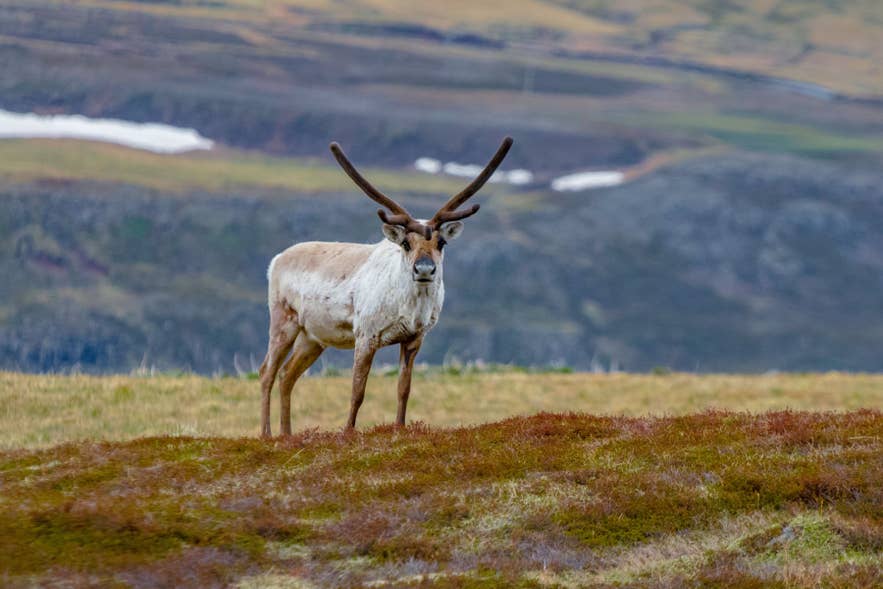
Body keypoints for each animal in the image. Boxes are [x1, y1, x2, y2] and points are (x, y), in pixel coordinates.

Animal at [259, 137, 514, 436]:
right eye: (406, 243)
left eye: (441, 243)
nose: (424, 269)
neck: (410, 308)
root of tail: (276, 260)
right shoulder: (366, 334)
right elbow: (357, 391)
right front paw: (347, 433)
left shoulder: (415, 338)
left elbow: (404, 388)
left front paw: (399, 428)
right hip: (283, 320)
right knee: (267, 372)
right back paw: (266, 434)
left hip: (314, 336)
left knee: (287, 375)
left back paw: (287, 435)